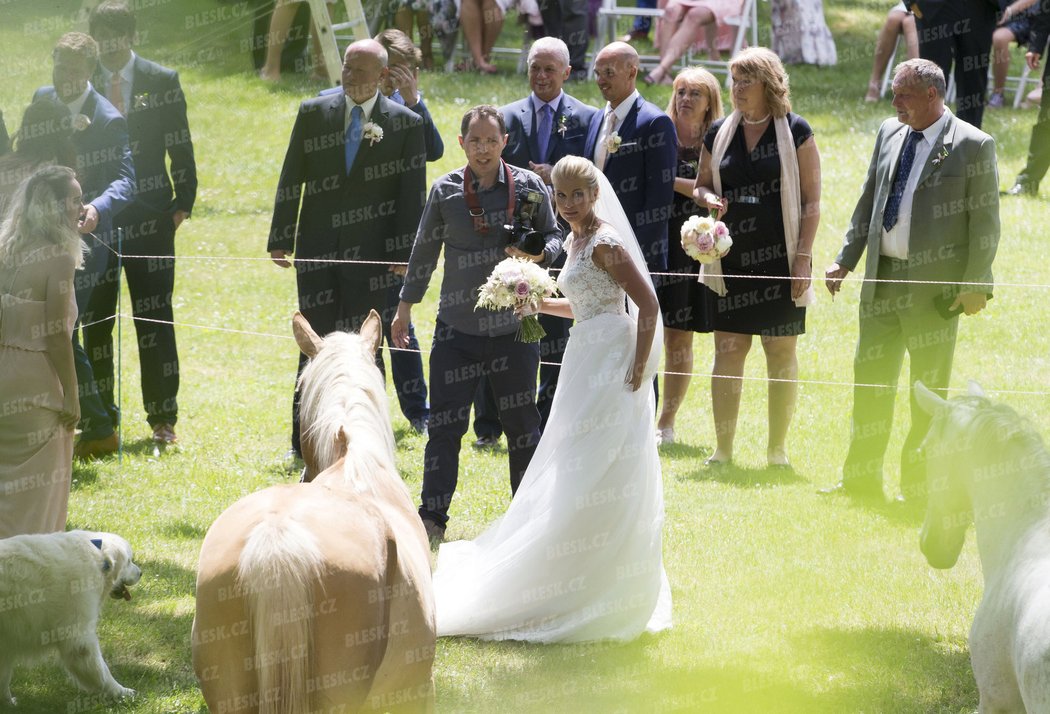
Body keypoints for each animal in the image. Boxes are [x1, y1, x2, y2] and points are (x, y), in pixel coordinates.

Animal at [0, 527, 141, 705]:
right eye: (129, 561)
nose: (141, 573)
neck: (99, 558)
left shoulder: (7, 640)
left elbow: (4, 675)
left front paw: (7, 702)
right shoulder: (79, 635)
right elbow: (100, 670)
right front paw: (120, 692)